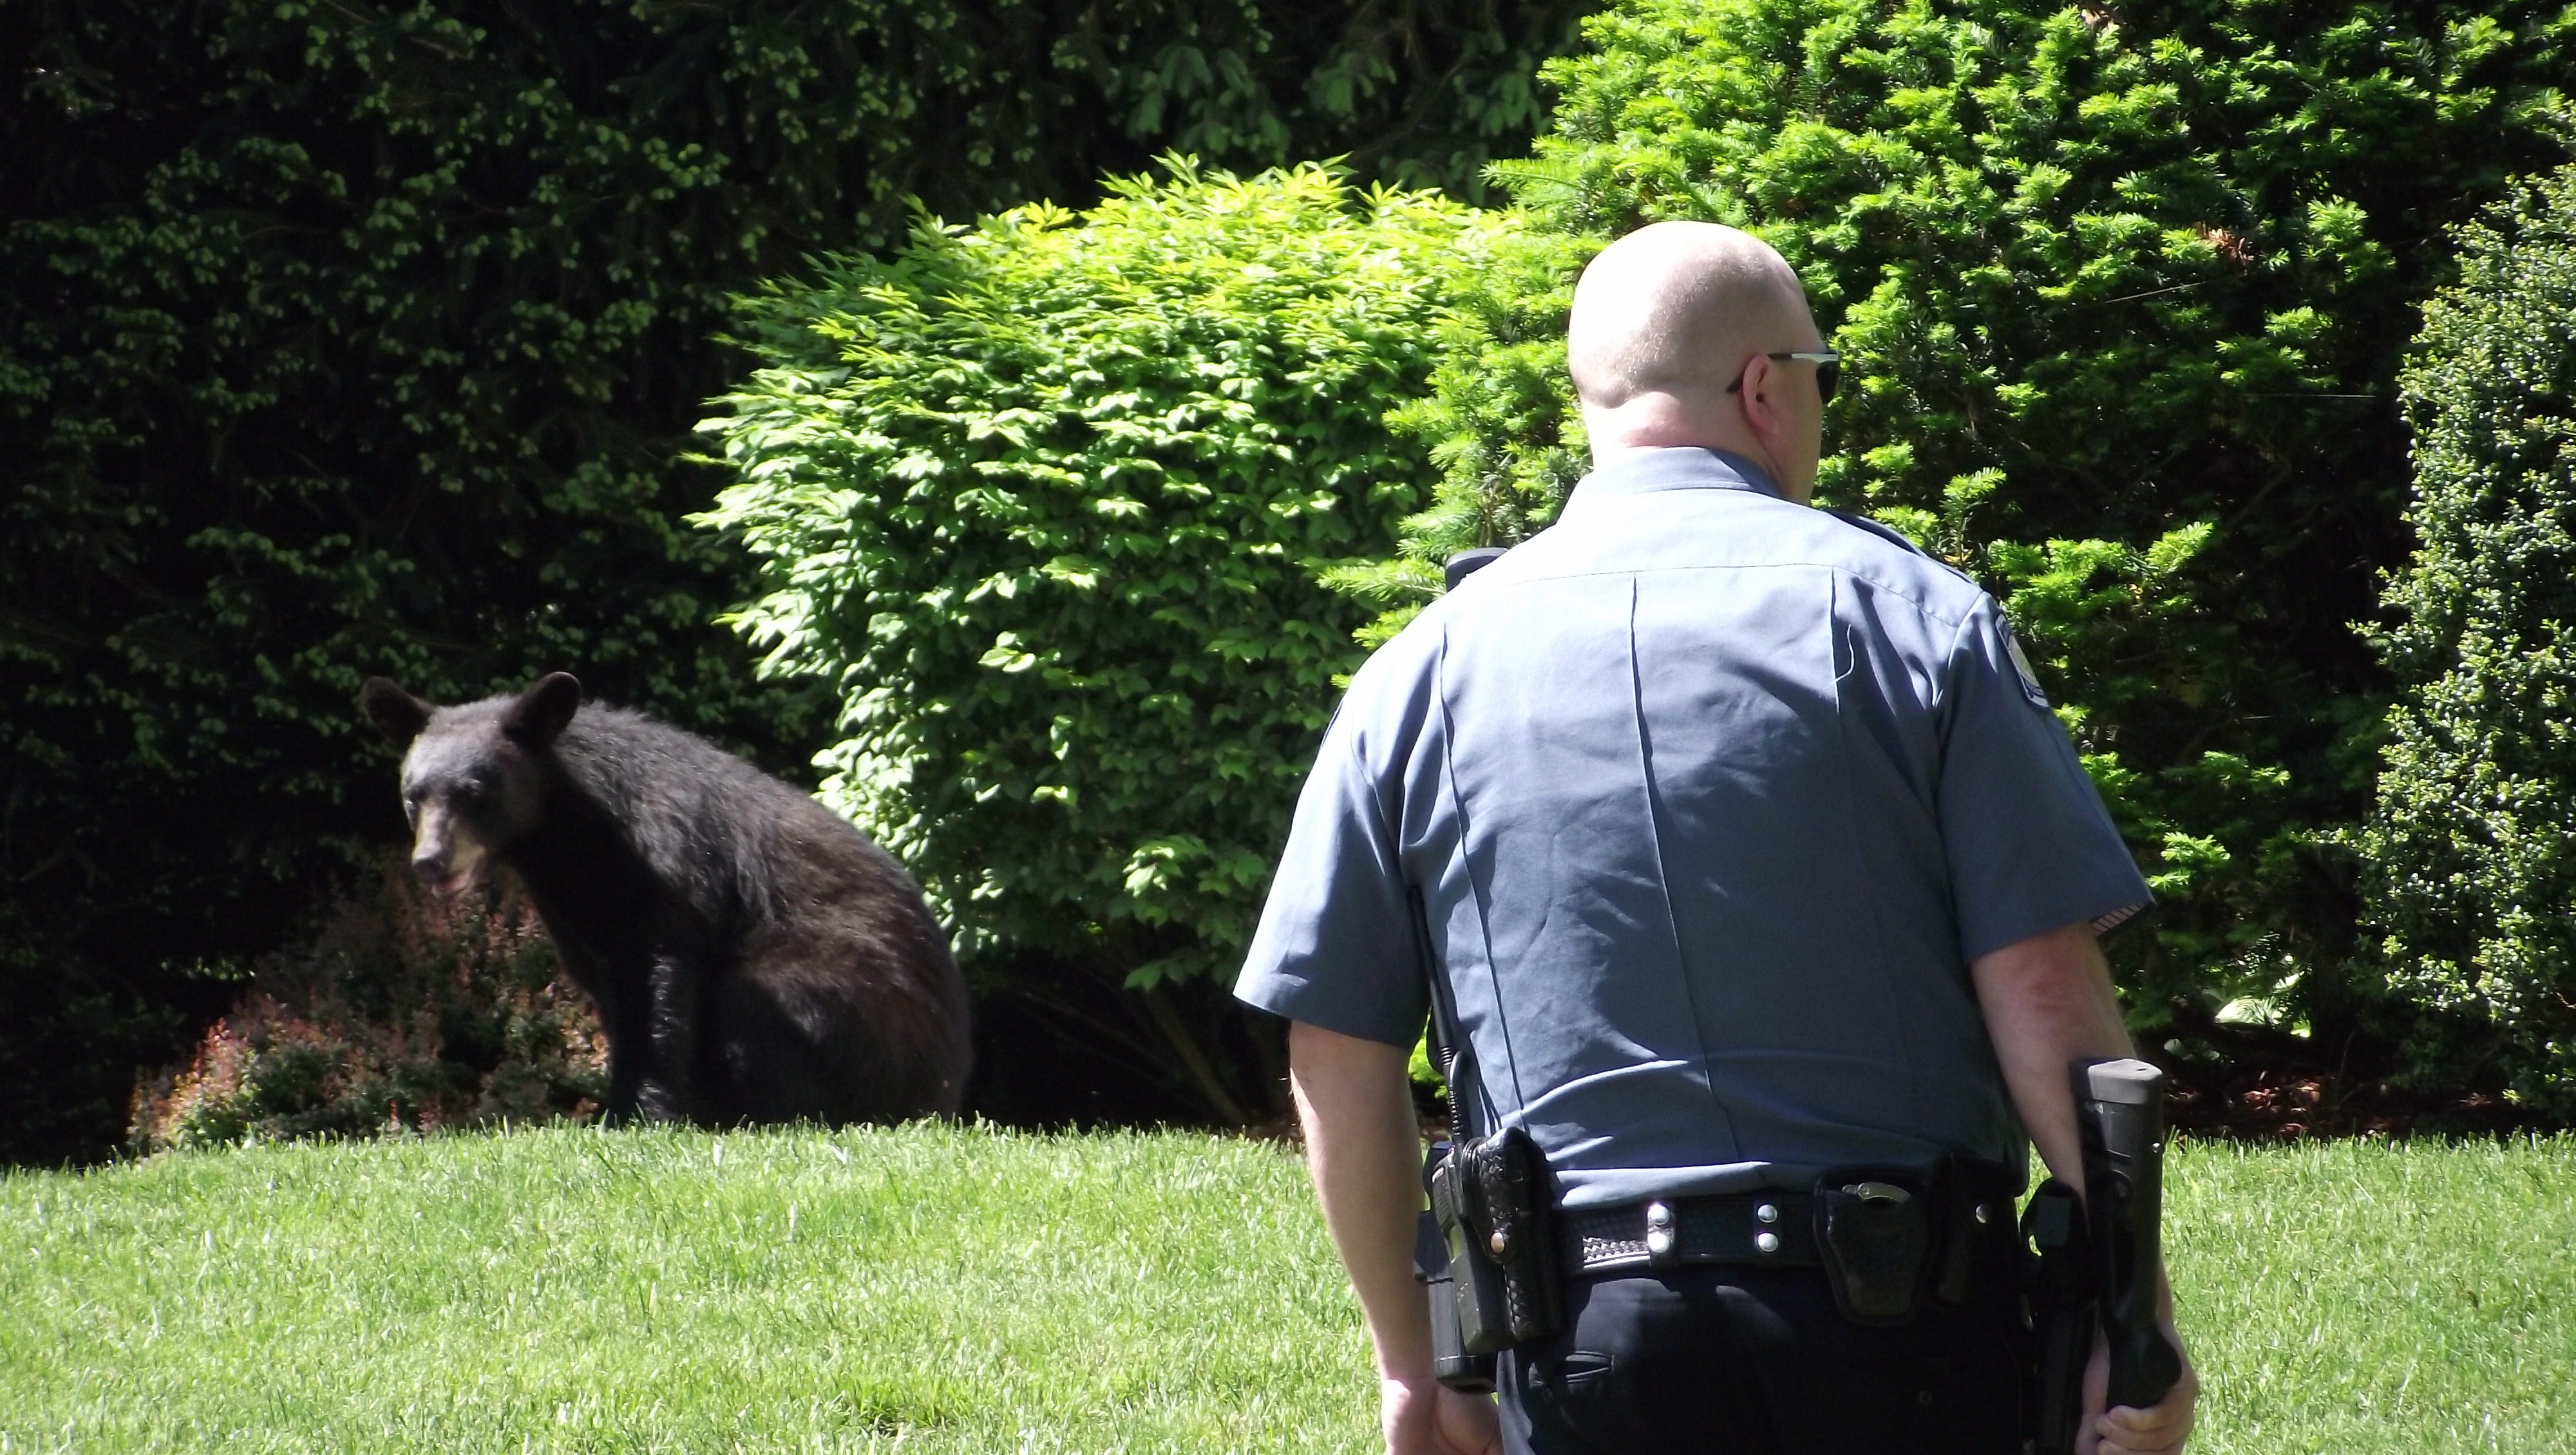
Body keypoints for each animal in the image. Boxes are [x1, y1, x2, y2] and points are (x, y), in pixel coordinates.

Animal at [359, 671, 970, 1127]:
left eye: (475, 794)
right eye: (413, 796)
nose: (430, 861)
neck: (568, 838)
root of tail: (948, 1086)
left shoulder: (665, 873)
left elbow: (661, 992)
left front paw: (643, 1116)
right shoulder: (581, 916)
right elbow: (616, 1002)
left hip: (865, 1019)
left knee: (752, 1002)